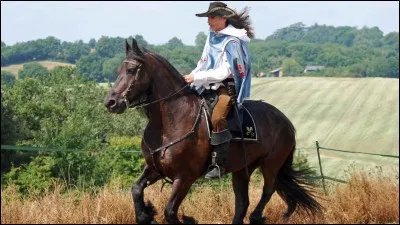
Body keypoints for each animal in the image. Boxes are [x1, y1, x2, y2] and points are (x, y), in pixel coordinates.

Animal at [104, 38, 322, 223]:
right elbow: (136, 189)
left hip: (271, 163)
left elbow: (170, 212)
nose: (111, 102)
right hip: (242, 170)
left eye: (132, 69)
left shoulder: (184, 178)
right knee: (242, 203)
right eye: (119, 70)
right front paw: (145, 215)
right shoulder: (155, 169)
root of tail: (286, 121)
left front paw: (185, 219)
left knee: (268, 190)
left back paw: (256, 217)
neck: (170, 122)